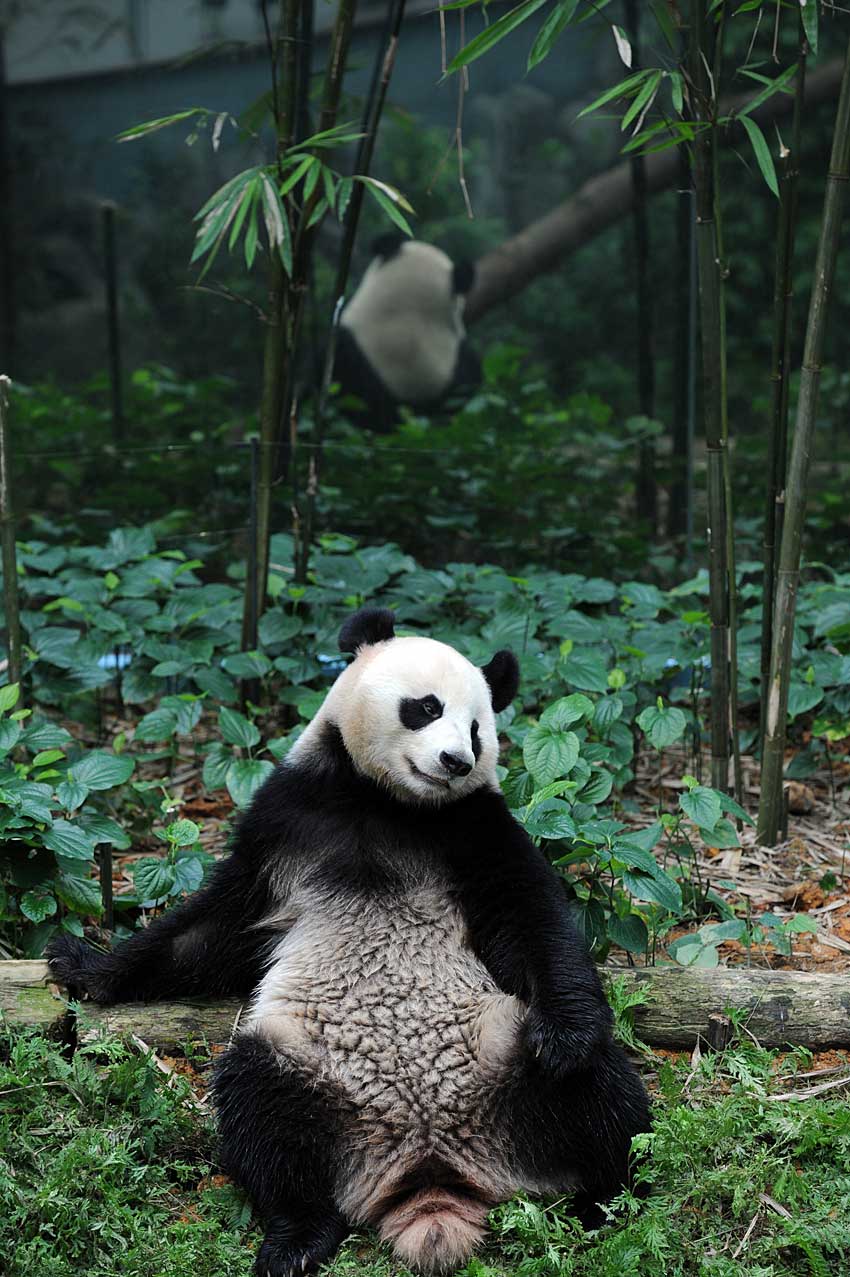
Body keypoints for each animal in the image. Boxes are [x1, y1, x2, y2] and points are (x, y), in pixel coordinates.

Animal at [49, 607, 648, 1277]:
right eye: (425, 707)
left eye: (477, 730)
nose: (456, 762)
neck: (390, 805)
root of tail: (430, 1165)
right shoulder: (287, 823)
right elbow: (212, 930)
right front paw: (83, 963)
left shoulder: (476, 828)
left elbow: (531, 920)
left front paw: (564, 1038)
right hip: (308, 1066)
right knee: (263, 1117)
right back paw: (296, 1238)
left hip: (502, 1048)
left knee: (606, 1102)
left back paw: (607, 1202)